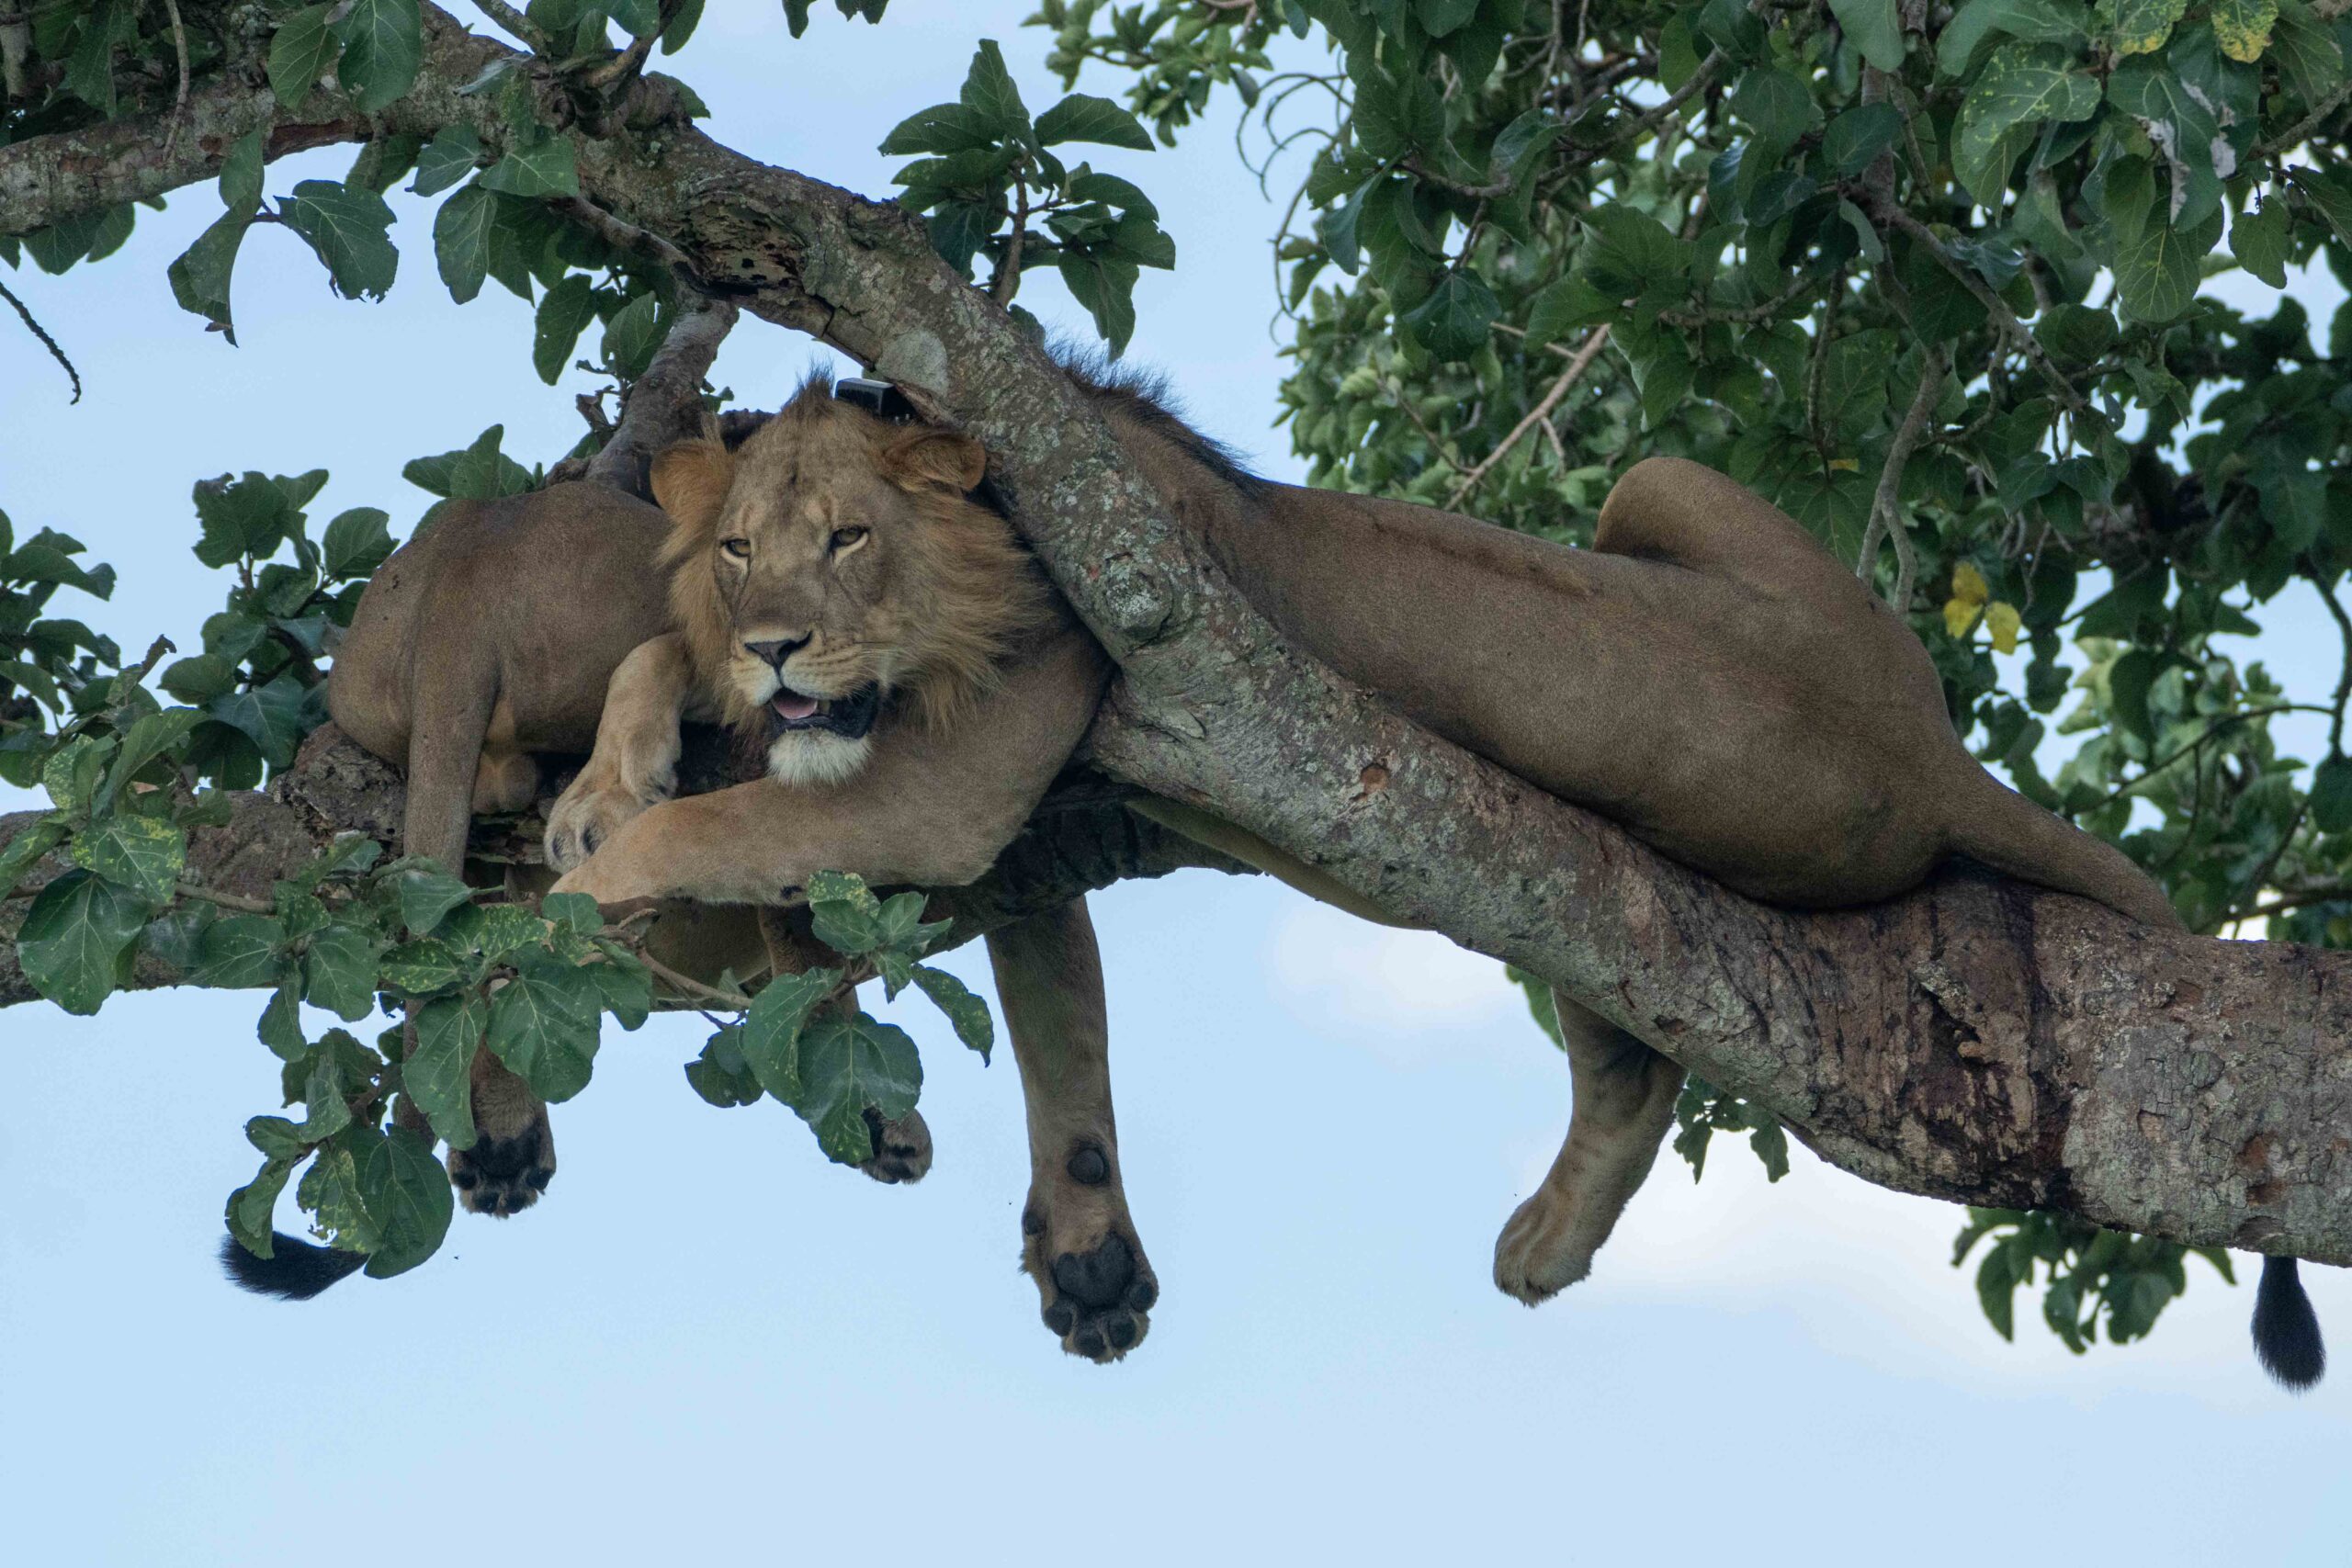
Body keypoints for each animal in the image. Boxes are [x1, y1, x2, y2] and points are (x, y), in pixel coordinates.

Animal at [555, 359, 2333, 1382]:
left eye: (849, 538)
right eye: (741, 547)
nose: (779, 642)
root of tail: (1929, 745)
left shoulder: (977, 767)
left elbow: (719, 828)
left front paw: (586, 889)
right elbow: (659, 665)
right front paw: (597, 784)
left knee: (1636, 1044)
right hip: (1625, 645)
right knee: (1634, 1052)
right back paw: (1547, 1243)